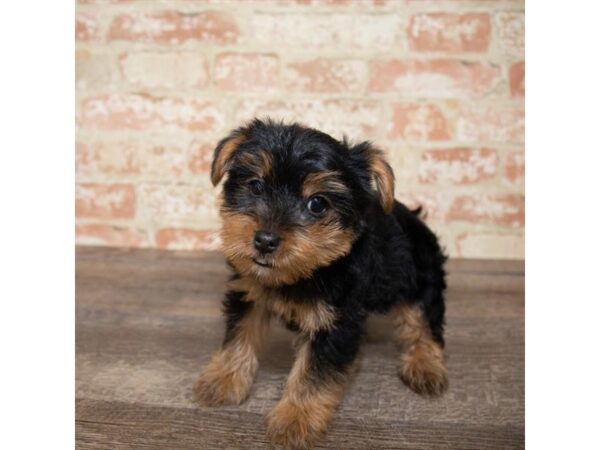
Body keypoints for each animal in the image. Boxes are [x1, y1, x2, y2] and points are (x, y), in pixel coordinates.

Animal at [192, 118, 446, 448]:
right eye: (256, 186)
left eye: (317, 204)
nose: (264, 240)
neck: (305, 273)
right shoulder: (250, 290)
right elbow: (240, 334)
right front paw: (222, 379)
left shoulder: (336, 321)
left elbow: (314, 372)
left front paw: (295, 420)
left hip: (421, 274)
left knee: (422, 320)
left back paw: (425, 365)